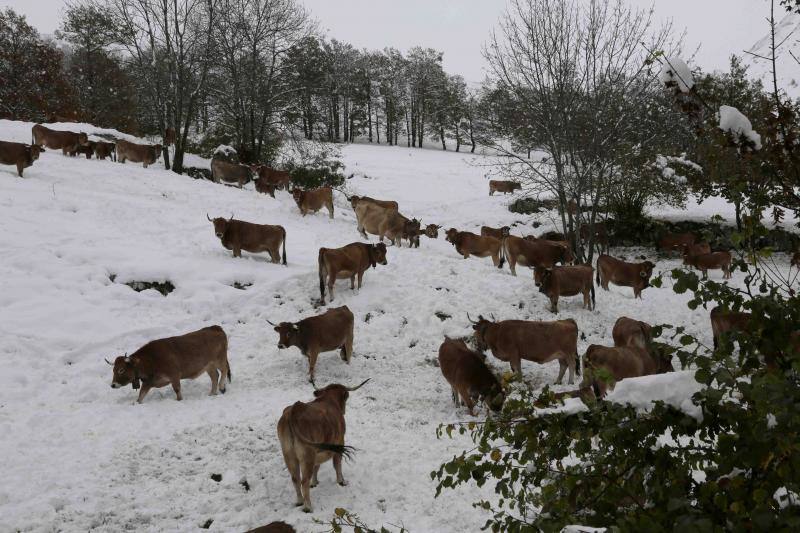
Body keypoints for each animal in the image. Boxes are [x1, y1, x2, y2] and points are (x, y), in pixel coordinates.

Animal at [276, 378, 370, 512]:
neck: (329, 401)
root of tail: (295, 409)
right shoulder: (340, 442)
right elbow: (337, 464)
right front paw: (341, 481)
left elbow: (317, 466)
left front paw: (315, 482)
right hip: (307, 455)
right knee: (303, 481)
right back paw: (308, 507)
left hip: (289, 455)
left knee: (295, 478)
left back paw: (299, 501)